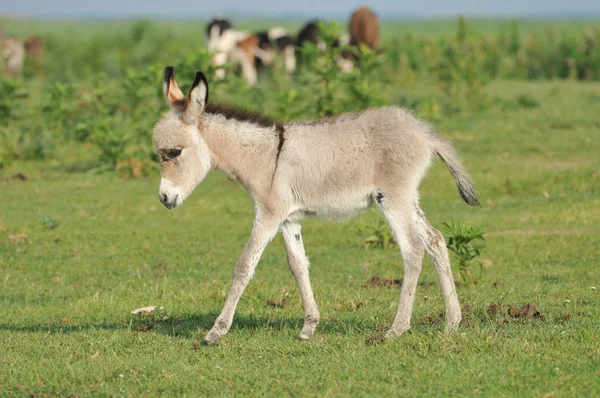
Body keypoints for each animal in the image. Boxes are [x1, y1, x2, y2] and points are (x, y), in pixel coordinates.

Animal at [154, 67, 478, 344]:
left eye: (174, 152)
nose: (164, 198)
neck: (264, 157)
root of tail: (424, 132)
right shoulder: (288, 219)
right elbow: (298, 266)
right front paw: (309, 326)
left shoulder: (268, 215)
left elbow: (244, 265)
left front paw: (216, 331)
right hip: (409, 199)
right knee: (435, 240)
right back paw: (452, 322)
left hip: (393, 199)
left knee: (412, 250)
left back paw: (397, 328)